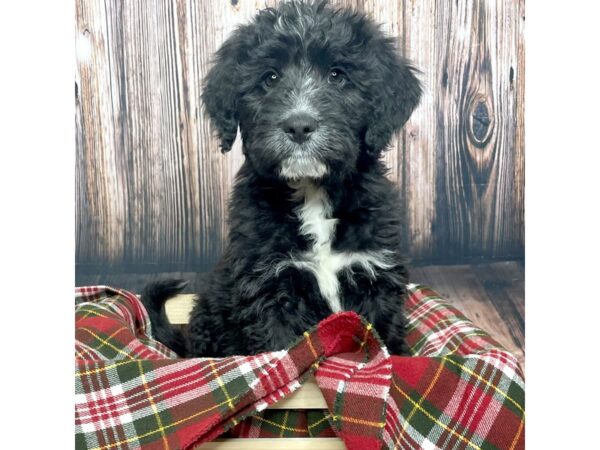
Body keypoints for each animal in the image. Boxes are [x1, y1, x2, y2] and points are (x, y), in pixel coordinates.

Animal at [142, 0, 420, 358]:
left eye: (337, 76)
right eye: (270, 78)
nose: (299, 125)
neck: (312, 192)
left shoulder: (375, 277)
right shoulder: (269, 286)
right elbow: (284, 353)